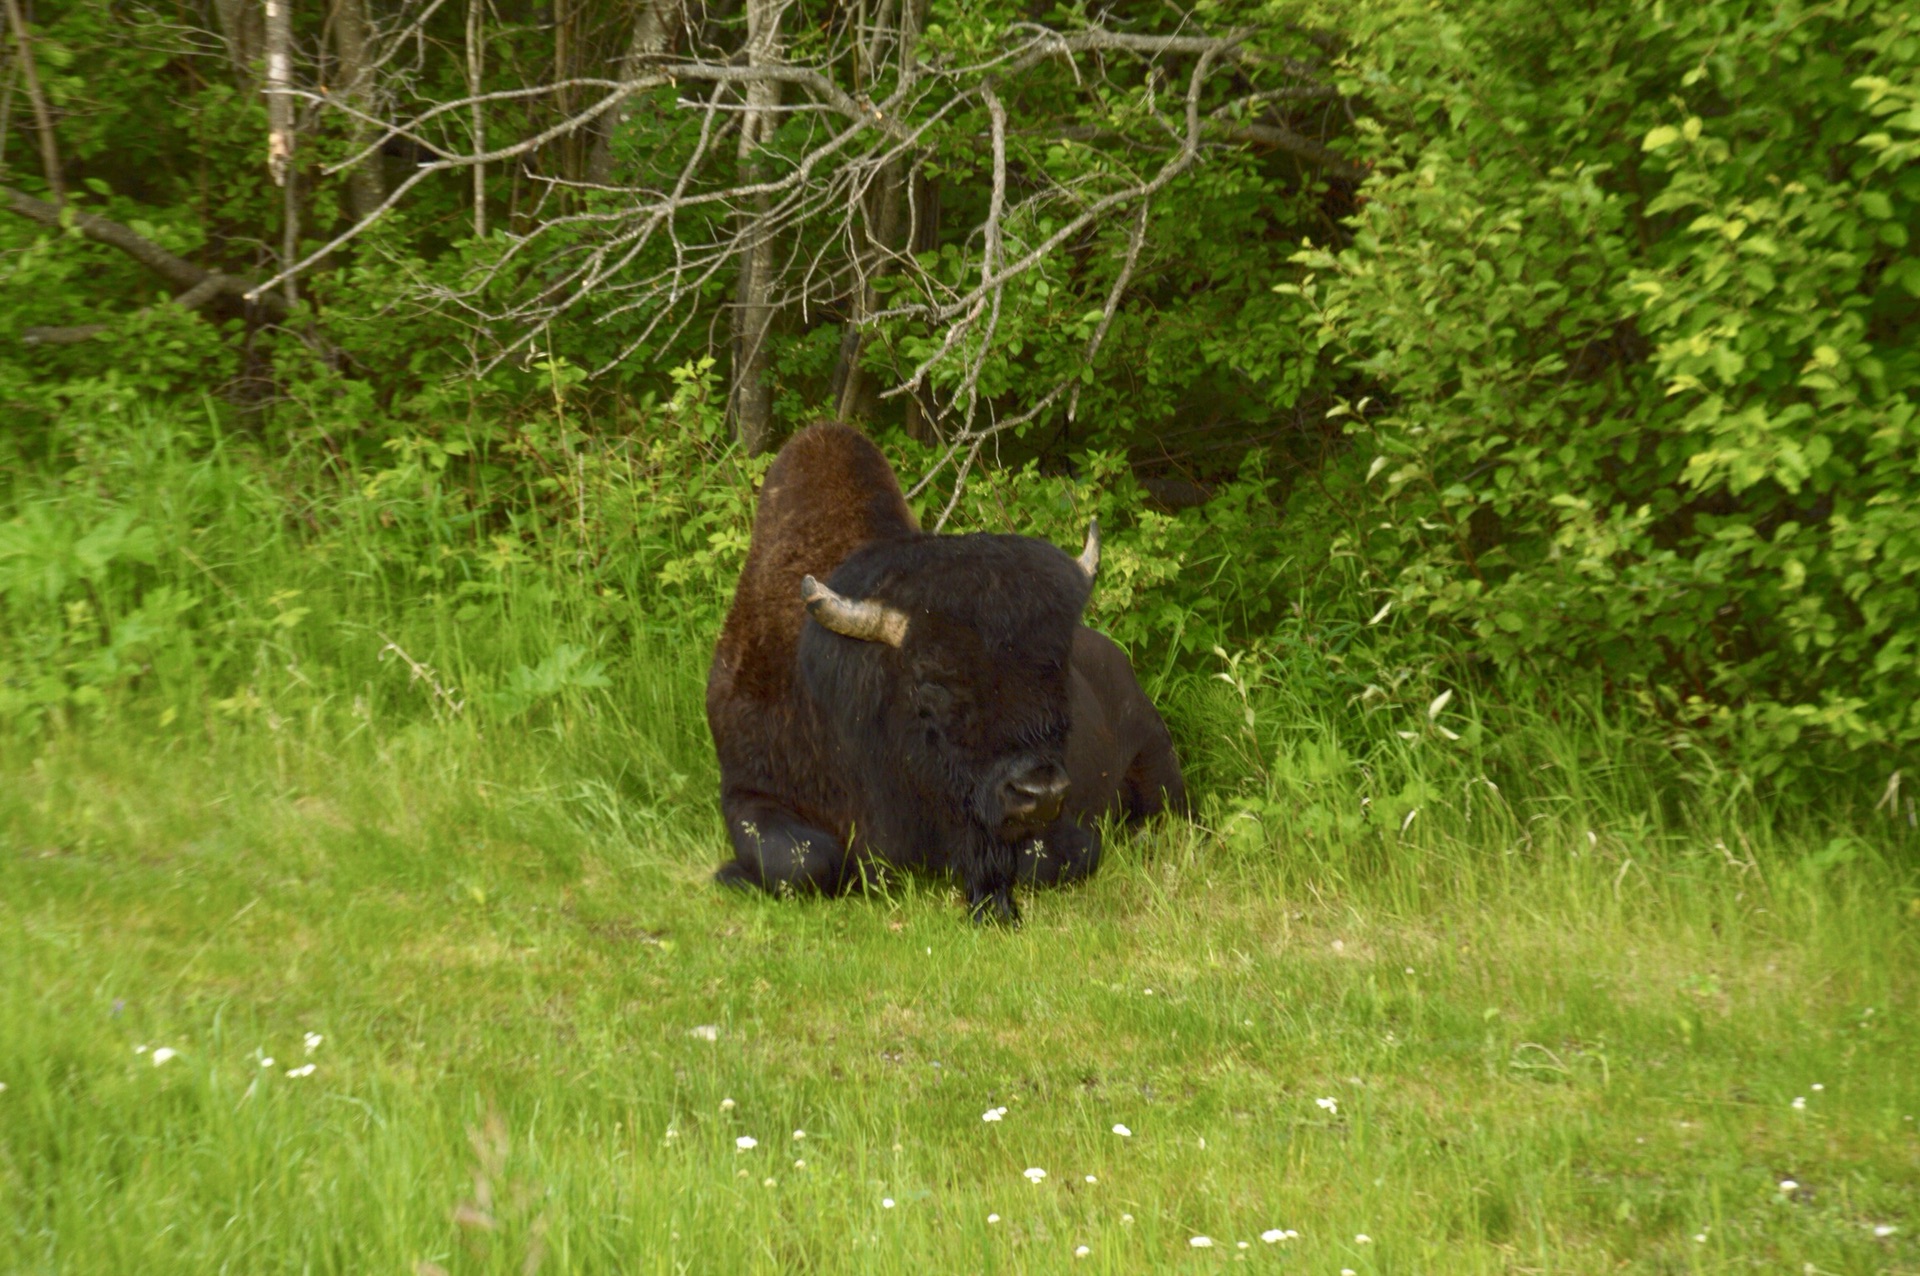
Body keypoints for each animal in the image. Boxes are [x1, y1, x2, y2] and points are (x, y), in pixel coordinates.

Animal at [706, 425, 1182, 917]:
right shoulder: (748, 788)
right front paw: (729, 874)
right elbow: (801, 862)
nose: (1040, 792)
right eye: (930, 681)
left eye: (1058, 668)